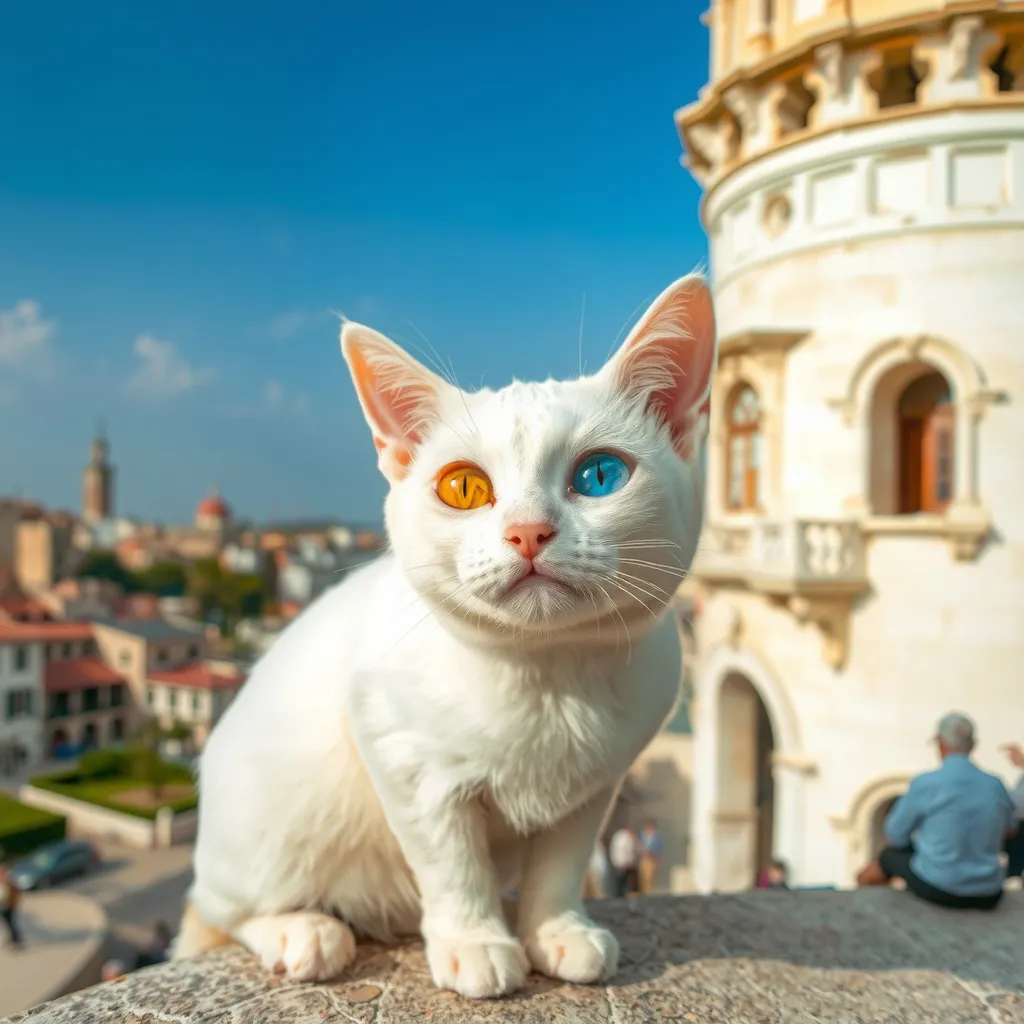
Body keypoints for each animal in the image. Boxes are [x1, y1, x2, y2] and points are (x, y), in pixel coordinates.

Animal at [172, 274, 716, 999]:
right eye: (463, 487)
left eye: (600, 475)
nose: (527, 531)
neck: (544, 678)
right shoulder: (401, 755)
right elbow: (451, 862)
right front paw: (475, 941)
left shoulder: (598, 785)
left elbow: (563, 860)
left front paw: (556, 930)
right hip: (264, 831)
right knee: (218, 912)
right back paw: (303, 932)